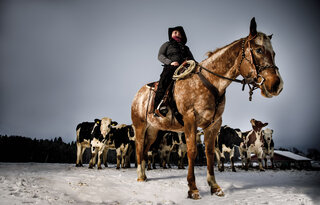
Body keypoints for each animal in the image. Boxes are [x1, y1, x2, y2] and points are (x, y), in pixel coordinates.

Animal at [130, 16, 282, 199]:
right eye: (259, 50)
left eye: (274, 53)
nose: (277, 85)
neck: (210, 82)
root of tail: (138, 95)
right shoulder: (190, 120)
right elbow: (192, 152)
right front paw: (193, 189)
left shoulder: (214, 124)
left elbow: (210, 153)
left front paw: (215, 187)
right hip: (140, 126)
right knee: (139, 147)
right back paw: (140, 176)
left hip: (153, 130)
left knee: (146, 149)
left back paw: (144, 175)